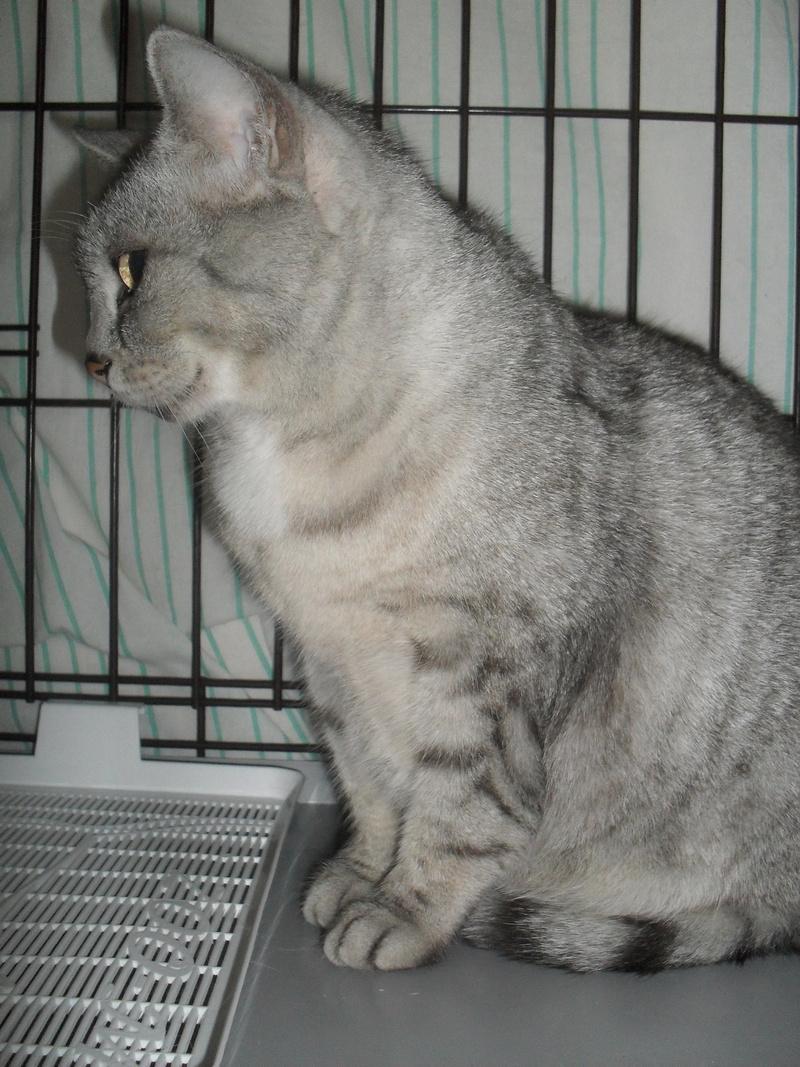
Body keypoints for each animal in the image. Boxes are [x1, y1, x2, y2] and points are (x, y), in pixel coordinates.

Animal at [75, 27, 800, 974]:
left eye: (131, 270)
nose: (88, 358)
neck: (278, 448)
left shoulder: (480, 666)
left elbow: (459, 809)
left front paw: (402, 913)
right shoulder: (329, 663)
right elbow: (372, 788)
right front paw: (358, 876)